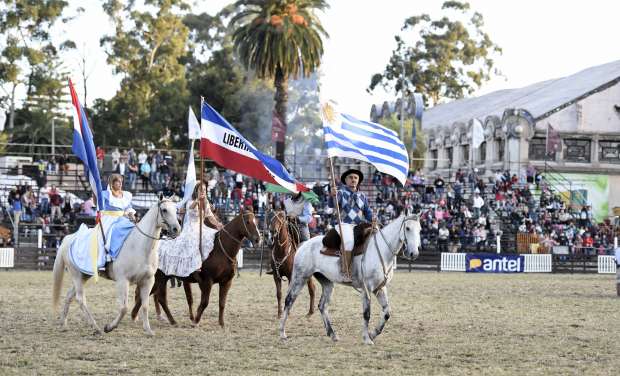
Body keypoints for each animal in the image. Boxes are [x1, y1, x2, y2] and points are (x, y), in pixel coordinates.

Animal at [52, 194, 180, 334]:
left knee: (70, 296)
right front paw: (109, 327)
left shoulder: (148, 281)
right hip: (78, 276)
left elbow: (145, 305)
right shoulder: (123, 281)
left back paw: (64, 325)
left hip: (84, 275)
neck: (141, 247)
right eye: (164, 210)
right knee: (81, 299)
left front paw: (148, 330)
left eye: (176, 210)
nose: (177, 229)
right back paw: (96, 328)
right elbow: (124, 308)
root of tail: (68, 239)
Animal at [131, 207, 262, 328]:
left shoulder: (226, 282)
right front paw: (196, 321)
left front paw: (222, 323)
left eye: (256, 221)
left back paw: (134, 315)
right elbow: (204, 301)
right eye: (248, 222)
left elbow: (222, 303)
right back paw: (173, 321)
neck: (221, 250)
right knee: (161, 299)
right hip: (161, 279)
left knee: (145, 295)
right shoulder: (207, 280)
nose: (258, 240)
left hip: (156, 280)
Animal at [280, 213, 422, 346]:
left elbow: (387, 312)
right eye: (408, 228)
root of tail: (305, 244)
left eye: (420, 229)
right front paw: (367, 338)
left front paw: (373, 334)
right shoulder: (367, 288)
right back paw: (282, 333)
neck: (382, 250)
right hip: (300, 277)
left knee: (323, 306)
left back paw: (333, 335)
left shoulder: (380, 288)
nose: (414, 254)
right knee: (289, 301)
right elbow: (367, 313)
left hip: (327, 282)